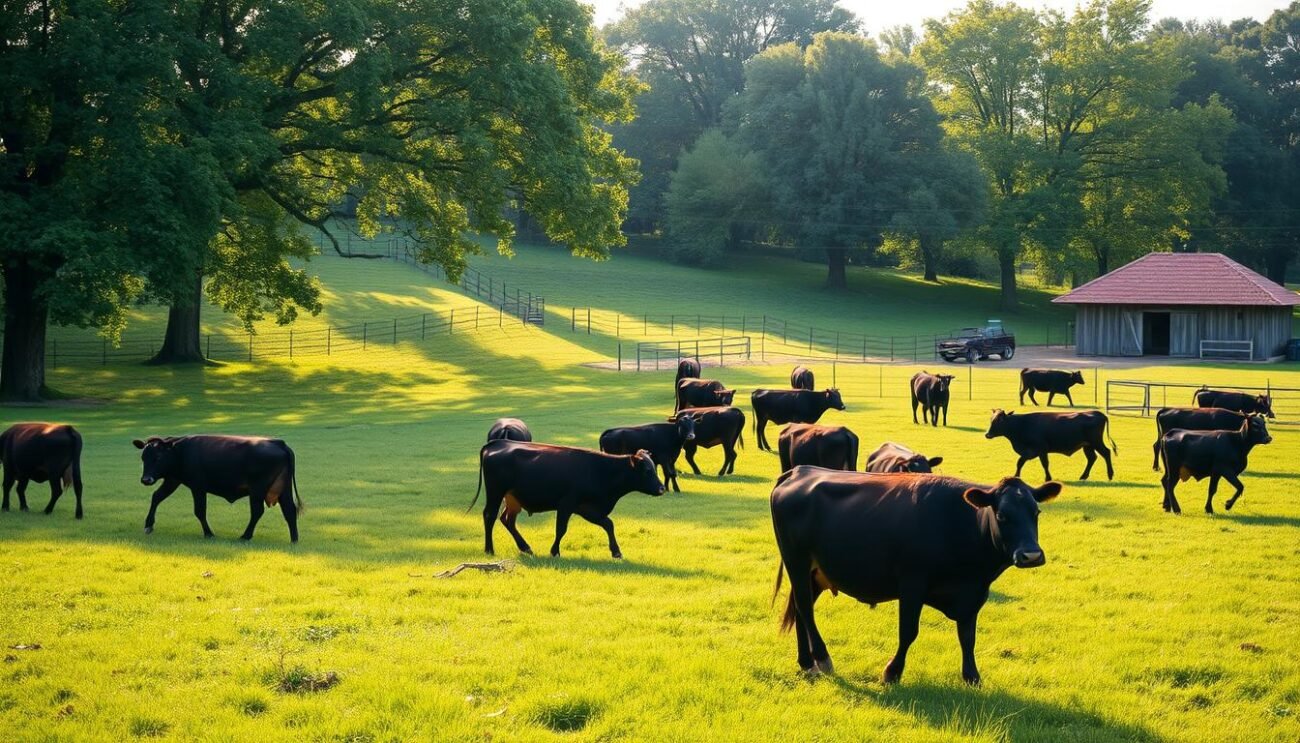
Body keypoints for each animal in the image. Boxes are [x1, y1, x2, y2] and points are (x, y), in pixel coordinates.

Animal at [132, 435, 303, 542]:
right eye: (143, 457)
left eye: (158, 457)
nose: (146, 479)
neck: (179, 452)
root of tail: (279, 442)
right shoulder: (173, 480)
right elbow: (157, 496)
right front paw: (148, 525)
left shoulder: (198, 486)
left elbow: (200, 511)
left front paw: (208, 533)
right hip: (283, 489)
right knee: (289, 510)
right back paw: (294, 539)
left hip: (258, 490)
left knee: (257, 512)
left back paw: (245, 536)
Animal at [467, 440, 664, 558]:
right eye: (647, 470)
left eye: (654, 468)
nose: (662, 488)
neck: (601, 470)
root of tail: (497, 443)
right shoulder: (566, 504)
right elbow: (561, 529)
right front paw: (554, 551)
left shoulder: (587, 508)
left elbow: (608, 524)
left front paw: (616, 551)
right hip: (495, 492)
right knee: (490, 516)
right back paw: (489, 549)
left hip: (512, 499)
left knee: (507, 519)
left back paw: (525, 547)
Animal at [770, 467, 1061, 683]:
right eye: (1001, 515)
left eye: (1036, 512)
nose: (1031, 555)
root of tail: (800, 471)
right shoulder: (912, 583)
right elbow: (909, 631)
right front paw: (892, 672)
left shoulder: (973, 594)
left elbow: (968, 636)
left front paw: (972, 676)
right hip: (797, 560)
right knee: (805, 608)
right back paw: (821, 658)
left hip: (814, 572)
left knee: (800, 608)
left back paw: (806, 662)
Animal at [984, 409, 1117, 481]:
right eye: (991, 419)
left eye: (999, 420)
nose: (987, 434)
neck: (1021, 424)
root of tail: (1098, 413)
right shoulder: (1031, 452)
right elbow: (1020, 462)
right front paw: (1016, 476)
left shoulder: (1040, 449)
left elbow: (1044, 464)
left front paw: (1048, 478)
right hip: (1087, 445)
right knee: (1092, 458)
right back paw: (1083, 476)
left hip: (1096, 442)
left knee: (1106, 453)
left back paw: (1110, 475)